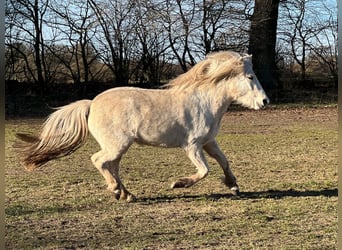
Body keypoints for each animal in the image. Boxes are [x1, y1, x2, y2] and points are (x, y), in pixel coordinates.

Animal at [14, 50, 268, 201]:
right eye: (250, 77)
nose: (265, 101)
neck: (203, 101)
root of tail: (91, 103)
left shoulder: (208, 142)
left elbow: (224, 162)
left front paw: (233, 185)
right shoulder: (193, 145)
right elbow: (204, 170)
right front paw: (178, 183)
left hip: (117, 148)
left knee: (111, 166)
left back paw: (126, 194)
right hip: (116, 145)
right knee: (99, 161)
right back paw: (116, 190)